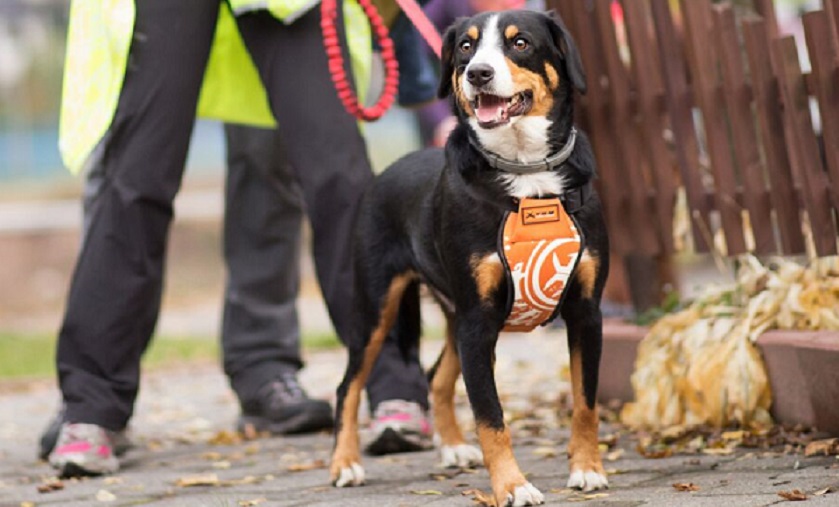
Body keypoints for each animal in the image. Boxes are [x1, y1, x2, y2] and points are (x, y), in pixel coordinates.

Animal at [330, 8, 612, 507]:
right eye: (466, 46)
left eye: (520, 43)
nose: (478, 73)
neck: (527, 173)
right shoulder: (479, 322)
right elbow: (491, 418)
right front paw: (514, 487)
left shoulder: (585, 312)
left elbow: (585, 401)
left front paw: (586, 469)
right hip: (376, 308)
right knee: (349, 385)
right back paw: (345, 464)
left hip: (453, 316)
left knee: (437, 377)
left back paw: (454, 448)